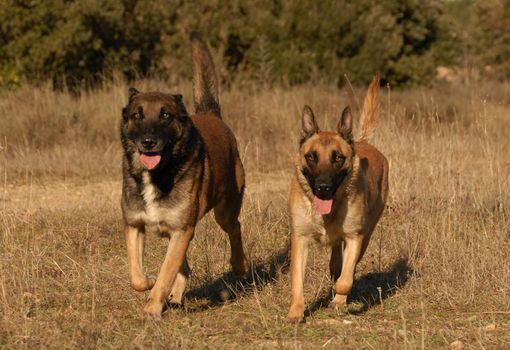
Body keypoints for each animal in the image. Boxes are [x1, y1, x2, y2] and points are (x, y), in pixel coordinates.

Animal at [119, 33, 247, 320]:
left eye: (165, 115)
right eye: (137, 115)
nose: (148, 142)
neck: (157, 174)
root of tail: (211, 114)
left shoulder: (181, 230)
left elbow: (166, 271)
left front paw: (152, 307)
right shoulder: (135, 225)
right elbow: (136, 276)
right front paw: (150, 284)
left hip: (223, 211)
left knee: (235, 228)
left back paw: (240, 264)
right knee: (185, 267)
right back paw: (176, 298)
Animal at [286, 75, 386, 324]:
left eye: (338, 158)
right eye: (311, 157)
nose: (323, 188)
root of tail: (362, 141)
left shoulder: (354, 237)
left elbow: (346, 279)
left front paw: (338, 297)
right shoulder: (299, 239)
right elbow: (297, 280)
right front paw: (296, 312)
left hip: (367, 234)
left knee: (346, 268)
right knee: (335, 259)